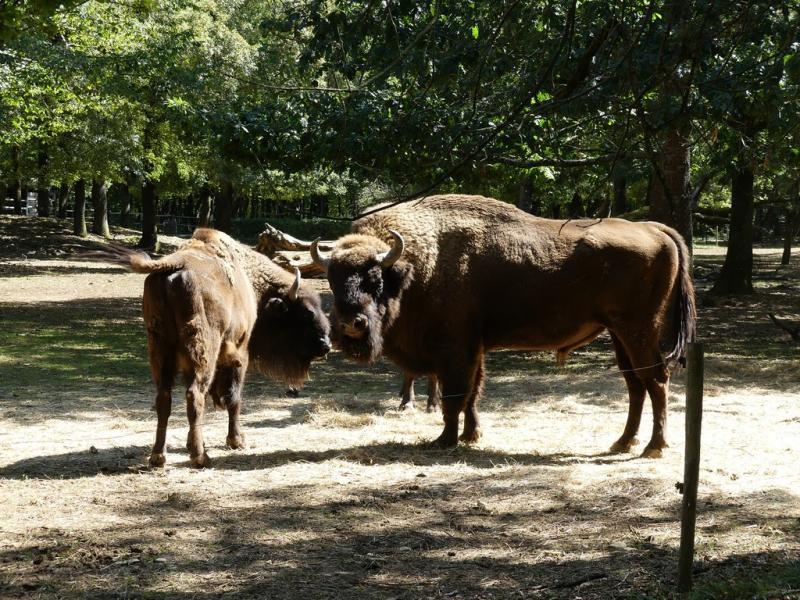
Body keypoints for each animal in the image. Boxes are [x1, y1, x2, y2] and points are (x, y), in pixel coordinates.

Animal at [311, 194, 696, 457]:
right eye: (332, 279)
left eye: (375, 280)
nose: (351, 324)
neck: (418, 266)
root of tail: (653, 228)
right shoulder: (475, 347)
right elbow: (473, 394)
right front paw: (471, 436)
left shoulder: (456, 349)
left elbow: (456, 395)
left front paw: (445, 440)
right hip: (619, 334)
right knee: (636, 385)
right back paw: (623, 442)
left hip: (638, 331)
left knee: (655, 380)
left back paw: (654, 447)